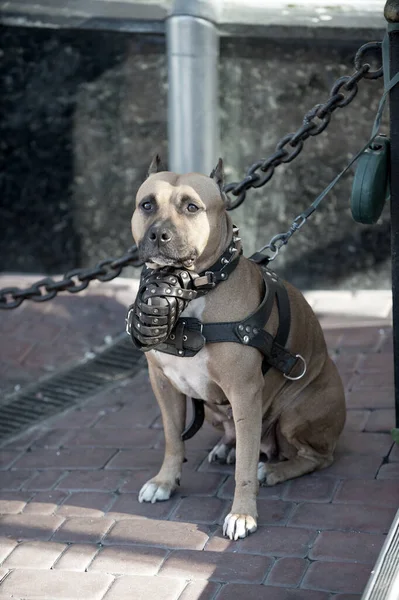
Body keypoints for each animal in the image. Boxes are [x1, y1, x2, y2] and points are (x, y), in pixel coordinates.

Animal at [131, 155, 346, 540]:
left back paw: (273, 470)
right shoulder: (163, 384)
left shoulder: (245, 392)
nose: (157, 234)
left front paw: (243, 514)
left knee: (316, 457)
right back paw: (227, 448)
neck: (192, 292)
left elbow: (245, 469)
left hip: (294, 414)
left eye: (191, 206)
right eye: (147, 205)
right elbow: (173, 438)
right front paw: (165, 482)